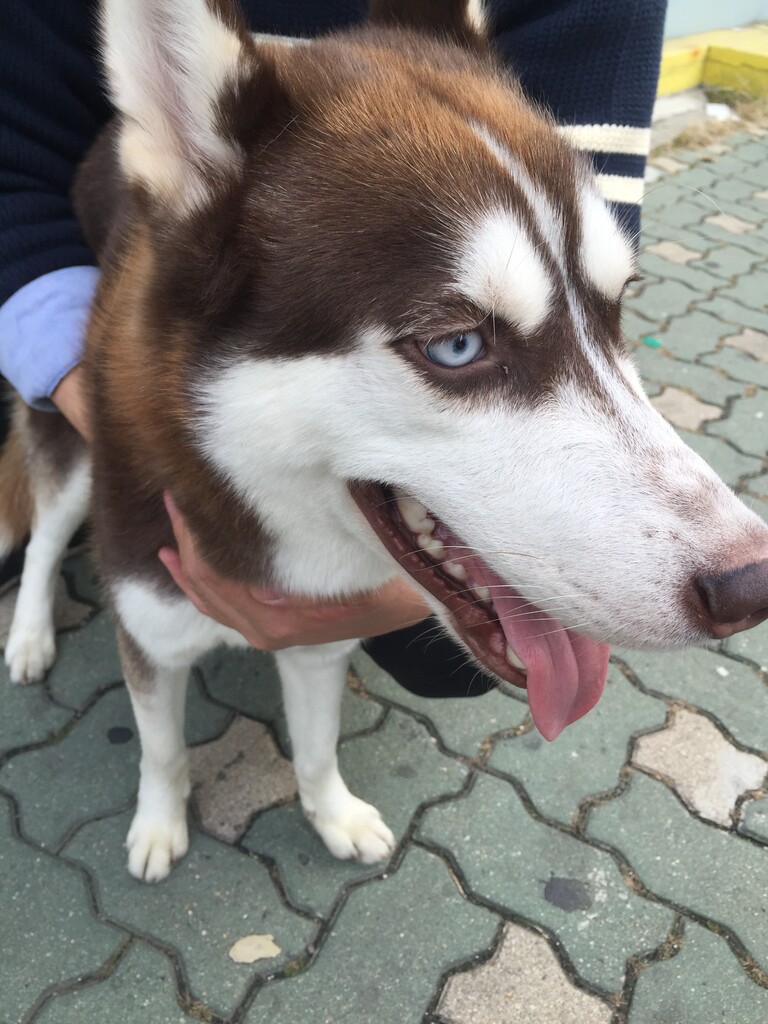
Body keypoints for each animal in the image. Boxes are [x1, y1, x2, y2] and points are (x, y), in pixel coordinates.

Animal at [2, 0, 768, 884]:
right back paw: (28, 634)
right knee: (46, 535)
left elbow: (314, 749)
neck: (265, 515)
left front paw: (331, 814)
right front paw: (159, 824)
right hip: (75, 448)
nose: (750, 586)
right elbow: (161, 752)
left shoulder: (317, 637)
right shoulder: (151, 634)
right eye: (458, 347)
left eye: (615, 310)